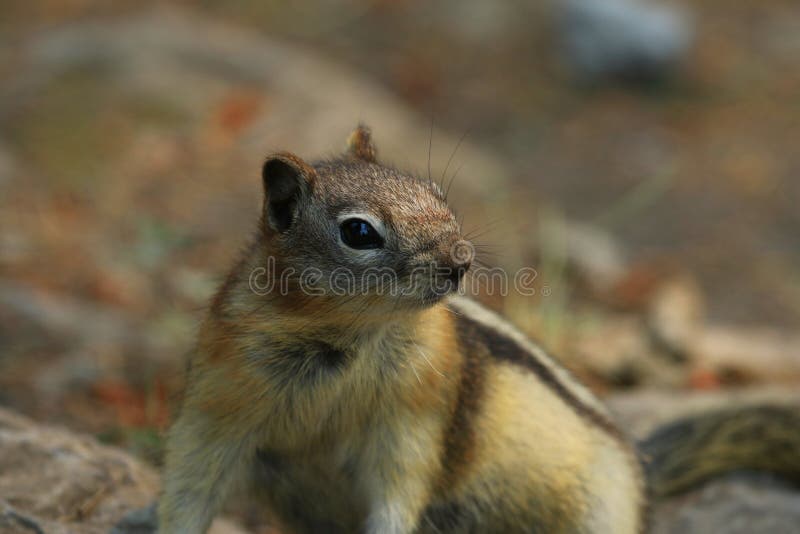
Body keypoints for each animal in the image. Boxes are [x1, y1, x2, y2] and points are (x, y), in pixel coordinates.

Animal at [159, 126, 800, 534]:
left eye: (436, 192)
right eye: (359, 232)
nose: (461, 260)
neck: (350, 336)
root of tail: (642, 468)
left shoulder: (417, 414)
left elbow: (402, 485)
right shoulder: (221, 397)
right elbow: (190, 485)